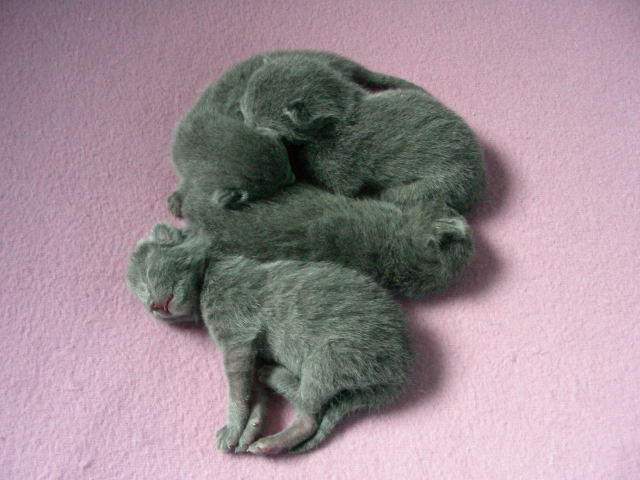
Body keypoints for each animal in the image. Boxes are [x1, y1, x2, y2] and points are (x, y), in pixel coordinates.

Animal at [126, 222, 412, 454]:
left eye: (147, 278)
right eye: (141, 294)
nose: (153, 306)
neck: (210, 271)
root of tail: (398, 375)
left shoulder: (237, 337)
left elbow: (237, 391)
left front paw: (233, 429)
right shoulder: (249, 346)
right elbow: (251, 391)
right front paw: (250, 428)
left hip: (330, 355)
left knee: (310, 405)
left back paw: (273, 377)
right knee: (310, 415)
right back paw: (270, 438)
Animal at [239, 56, 485, 214]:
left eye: (258, 125)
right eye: (243, 112)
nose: (240, 128)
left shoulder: (340, 166)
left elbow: (343, 190)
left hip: (439, 186)